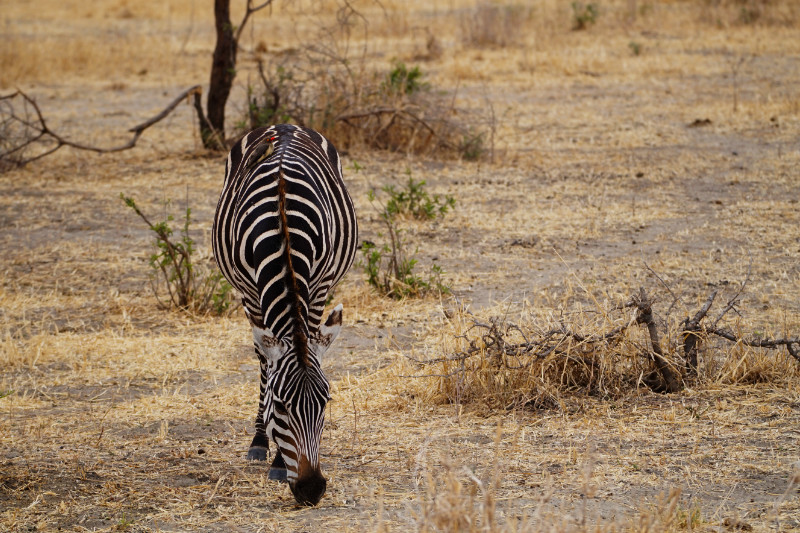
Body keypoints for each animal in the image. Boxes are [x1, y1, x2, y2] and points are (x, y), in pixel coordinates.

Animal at [212, 124, 358, 506]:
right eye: (279, 405)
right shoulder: (250, 292)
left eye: (326, 402)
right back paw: (258, 441)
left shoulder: (320, 285)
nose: (312, 489)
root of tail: (284, 125)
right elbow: (267, 359)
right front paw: (270, 451)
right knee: (262, 357)